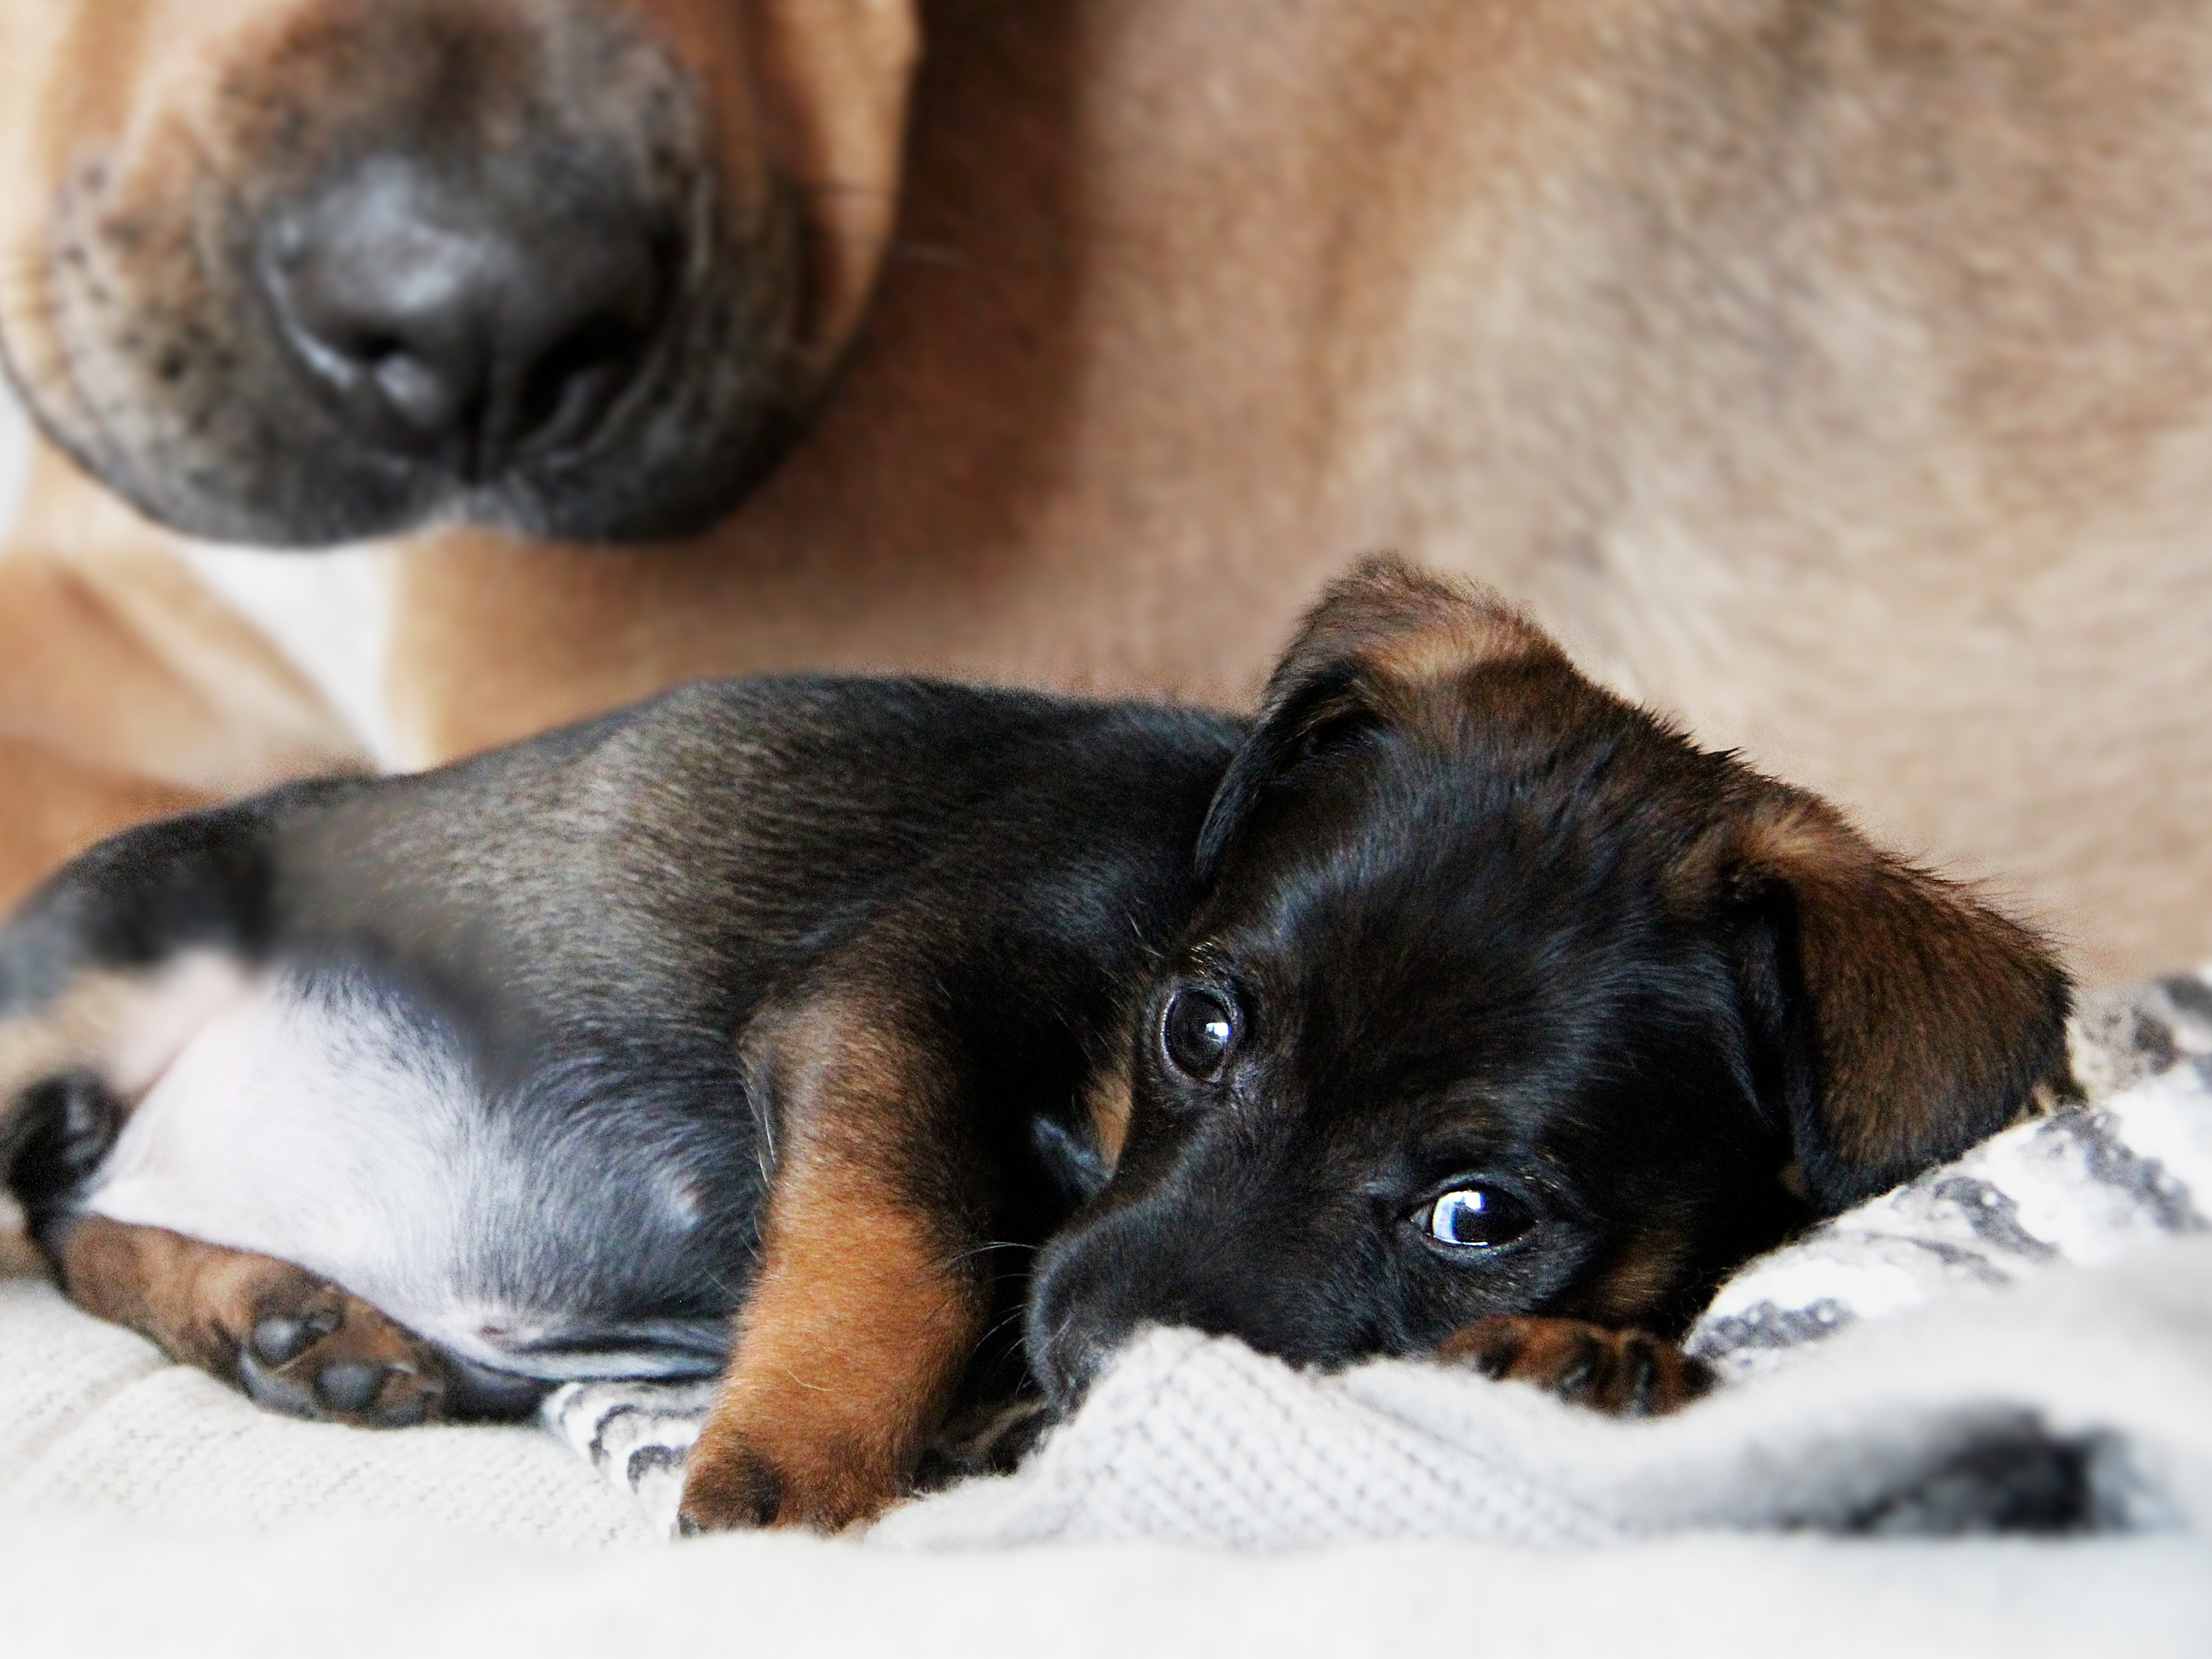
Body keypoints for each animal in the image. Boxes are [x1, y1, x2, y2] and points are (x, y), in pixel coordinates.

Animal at [4, 562, 2070, 1531]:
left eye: (1481, 1219)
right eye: (1200, 1027)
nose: (1084, 1347)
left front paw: (1580, 1361)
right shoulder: (896, 1011)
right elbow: (904, 1244)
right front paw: (794, 1469)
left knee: (71, 1226)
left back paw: (282, 1314)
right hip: (82, 987)